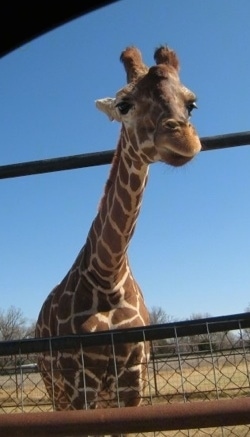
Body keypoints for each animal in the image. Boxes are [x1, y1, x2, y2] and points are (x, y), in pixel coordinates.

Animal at [35, 46, 201, 422]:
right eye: (124, 104)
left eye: (191, 104)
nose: (183, 139)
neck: (107, 274)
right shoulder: (79, 381)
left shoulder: (132, 377)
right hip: (55, 387)